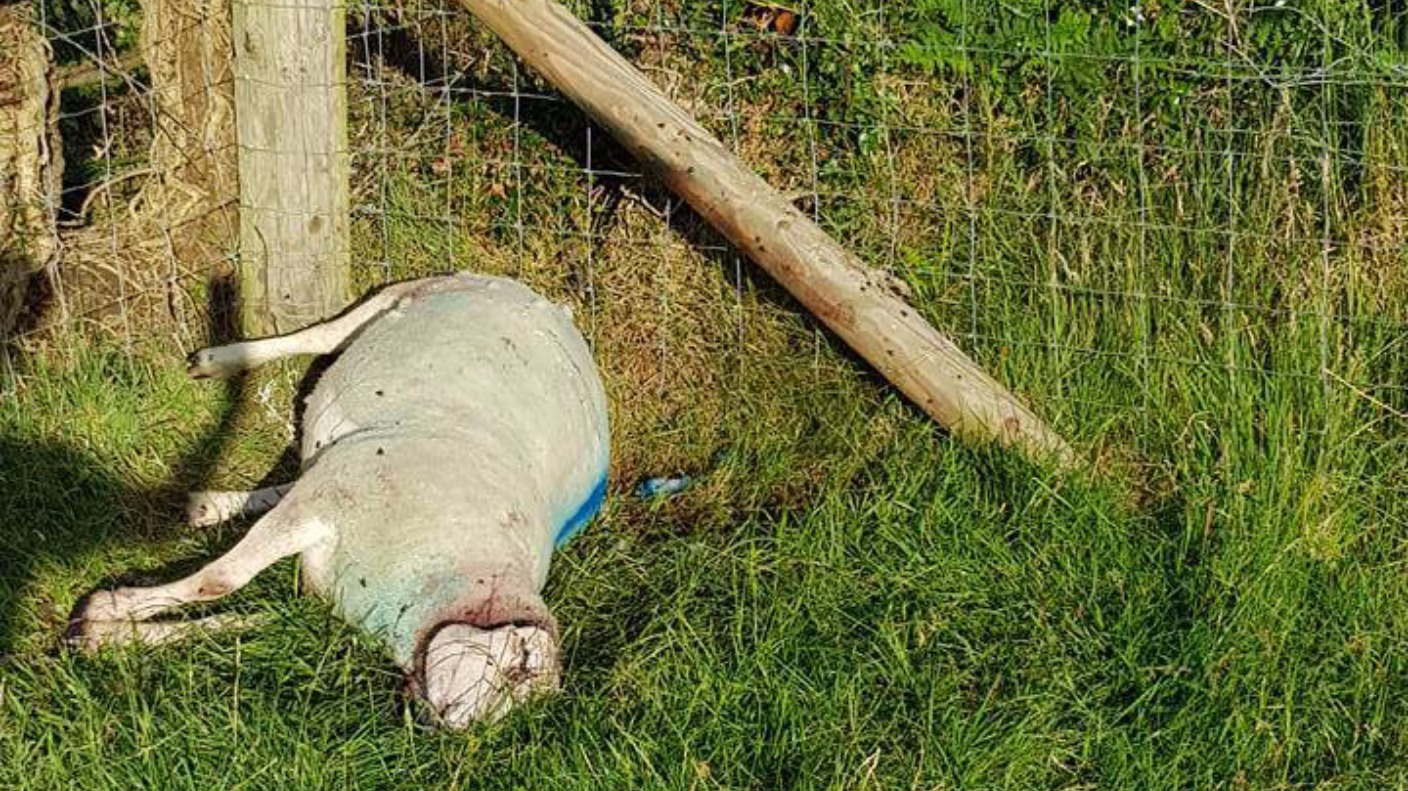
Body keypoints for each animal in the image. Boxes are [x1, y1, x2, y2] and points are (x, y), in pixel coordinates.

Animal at [67, 272, 610, 727]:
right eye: (519, 664)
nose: (451, 730)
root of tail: (552, 307)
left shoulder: (320, 587)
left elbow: (249, 618)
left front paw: (101, 631)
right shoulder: (328, 501)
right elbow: (218, 582)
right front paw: (110, 609)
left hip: (336, 457)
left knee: (294, 469)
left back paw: (208, 505)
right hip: (399, 298)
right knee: (319, 336)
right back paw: (214, 362)